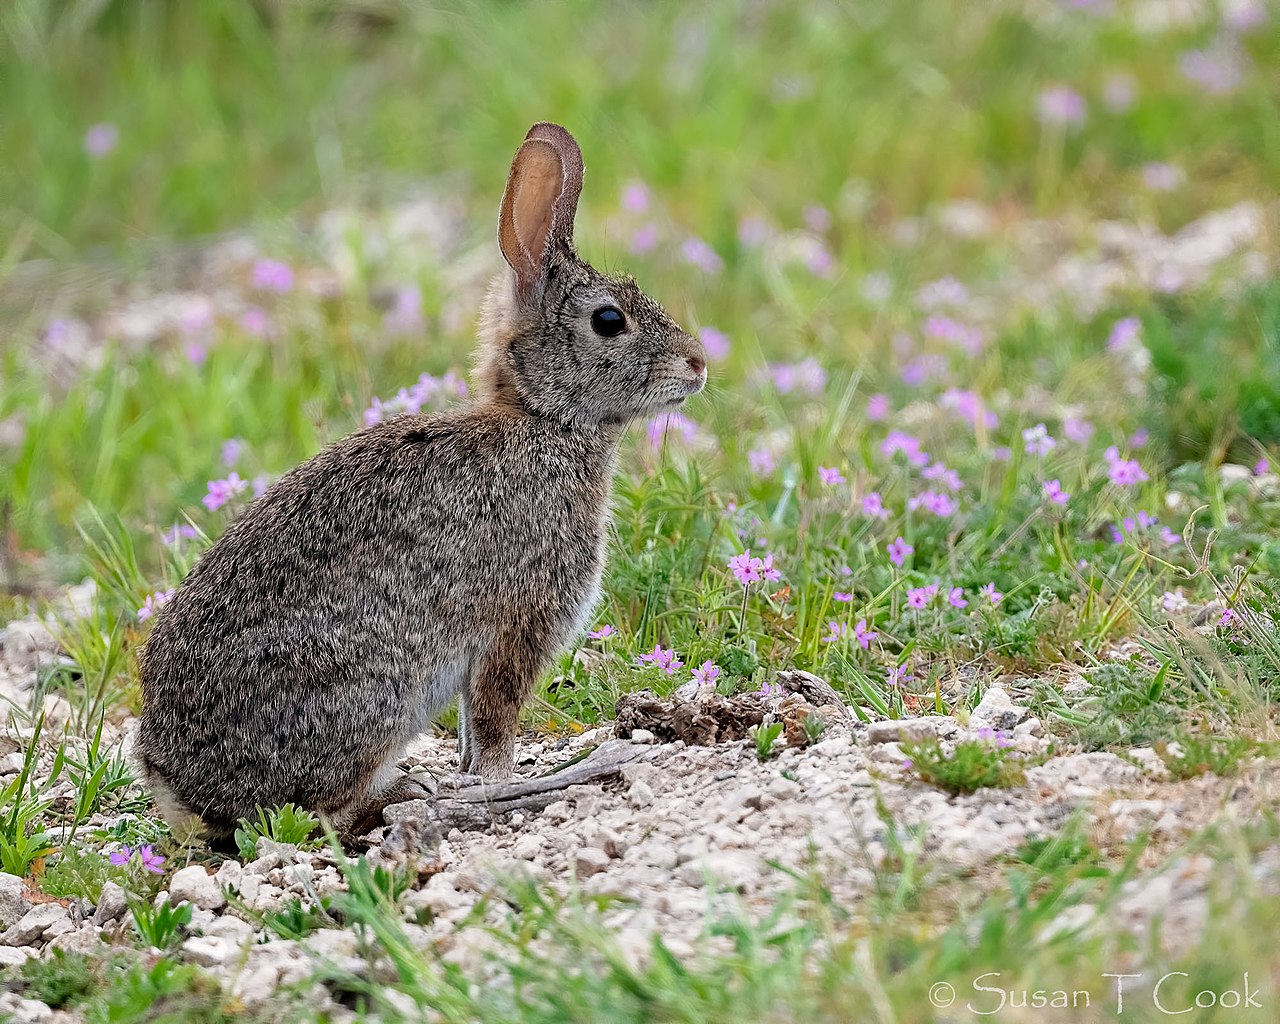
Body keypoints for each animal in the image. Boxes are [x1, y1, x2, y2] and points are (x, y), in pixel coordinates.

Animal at [137, 122, 711, 839]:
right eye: (610, 320)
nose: (698, 363)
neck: (541, 417)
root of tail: (174, 783)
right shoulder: (517, 623)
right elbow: (494, 721)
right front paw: (498, 778)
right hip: (372, 695)